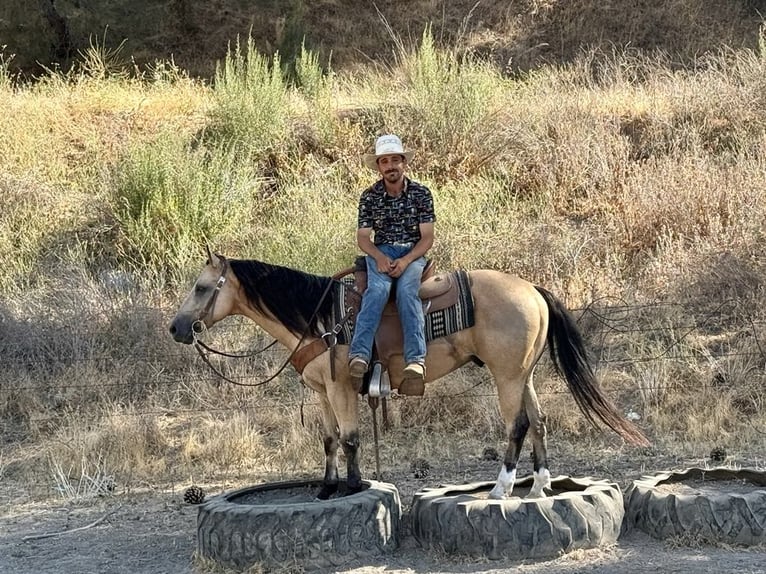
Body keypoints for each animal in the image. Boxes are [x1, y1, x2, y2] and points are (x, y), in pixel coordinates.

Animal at [169, 249, 649, 500]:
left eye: (200, 286)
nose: (176, 328)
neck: (317, 317)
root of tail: (532, 289)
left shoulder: (342, 388)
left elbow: (350, 438)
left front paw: (353, 487)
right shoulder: (322, 392)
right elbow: (328, 440)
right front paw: (326, 489)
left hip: (507, 377)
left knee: (516, 425)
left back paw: (501, 489)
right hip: (524, 374)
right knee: (539, 423)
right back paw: (539, 488)